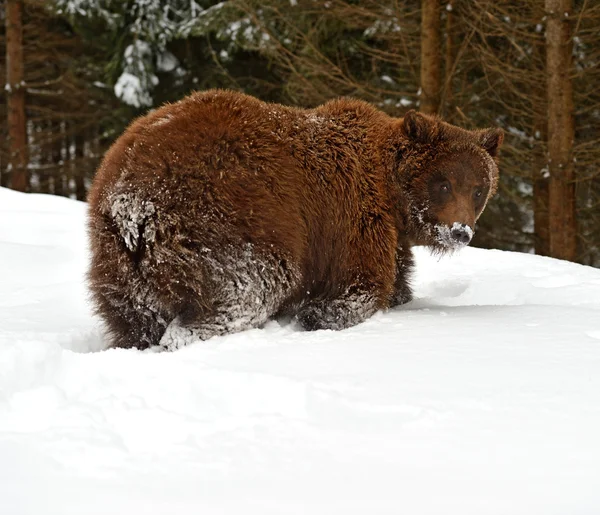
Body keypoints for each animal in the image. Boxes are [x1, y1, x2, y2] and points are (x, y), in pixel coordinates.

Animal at [88, 90, 502, 352]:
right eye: (444, 183)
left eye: (478, 188)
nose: (460, 231)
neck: (392, 194)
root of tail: (132, 199)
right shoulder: (352, 220)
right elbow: (358, 285)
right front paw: (320, 313)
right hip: (231, 217)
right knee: (251, 287)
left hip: (115, 256)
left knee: (132, 314)